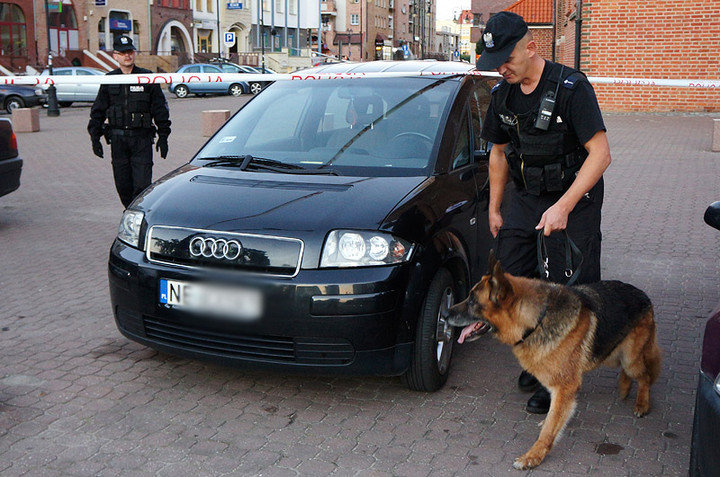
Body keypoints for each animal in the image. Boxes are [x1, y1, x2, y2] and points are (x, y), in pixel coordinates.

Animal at [448, 253, 660, 468]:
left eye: (472, 301)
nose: (445, 313)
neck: (537, 320)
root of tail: (644, 295)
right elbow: (553, 415)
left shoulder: (565, 386)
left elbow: (550, 428)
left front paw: (533, 456)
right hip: (613, 354)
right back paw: (625, 388)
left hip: (629, 359)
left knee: (645, 376)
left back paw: (642, 404)